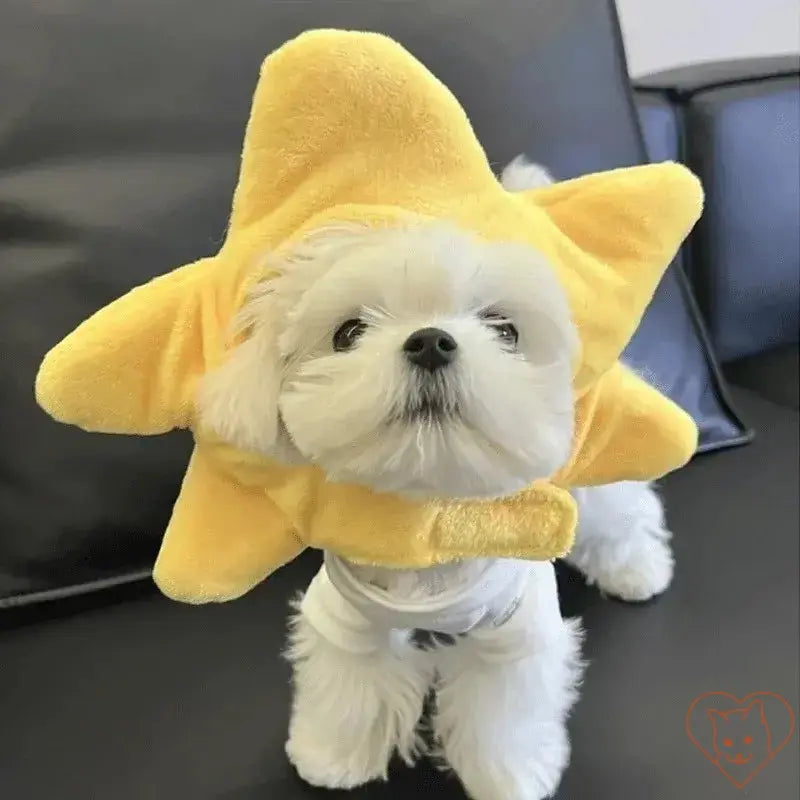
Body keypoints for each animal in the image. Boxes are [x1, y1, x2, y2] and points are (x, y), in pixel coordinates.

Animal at [198, 156, 676, 800]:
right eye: (348, 332)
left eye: (505, 329)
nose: (430, 341)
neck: (428, 517)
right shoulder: (346, 616)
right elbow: (348, 685)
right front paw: (332, 756)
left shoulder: (516, 629)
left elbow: (504, 709)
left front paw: (509, 775)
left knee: (621, 512)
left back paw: (639, 571)